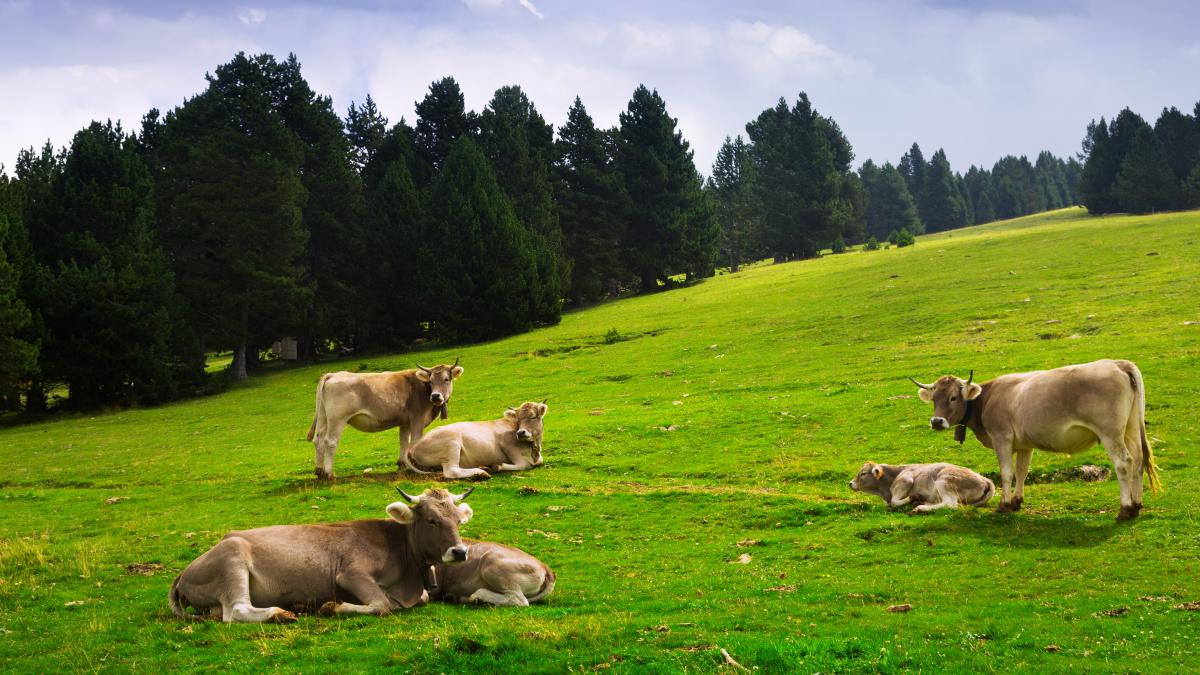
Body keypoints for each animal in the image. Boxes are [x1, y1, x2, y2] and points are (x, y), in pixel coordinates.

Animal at [167, 487, 476, 623]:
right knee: (235, 611)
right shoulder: (350, 574)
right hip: (232, 558)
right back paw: (281, 613)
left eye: (458, 521)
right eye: (432, 520)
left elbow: (417, 599)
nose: (459, 551)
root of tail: (183, 573)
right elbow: (381, 604)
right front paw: (332, 607)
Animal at [306, 359, 464, 480]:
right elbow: (415, 441)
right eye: (430, 381)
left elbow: (403, 442)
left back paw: (319, 471)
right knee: (330, 441)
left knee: (318, 439)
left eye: (446, 379)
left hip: (323, 418)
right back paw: (329, 473)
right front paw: (419, 467)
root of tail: (333, 374)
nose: (436, 396)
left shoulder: (405, 422)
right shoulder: (417, 419)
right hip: (337, 419)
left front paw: (402, 464)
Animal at [402, 401, 548, 480]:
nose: (520, 433)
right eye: (518, 419)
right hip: (451, 444)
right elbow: (524, 464)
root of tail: (413, 446)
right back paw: (481, 472)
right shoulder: (506, 444)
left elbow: (539, 461)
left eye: (533, 417)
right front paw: (498, 466)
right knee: (452, 471)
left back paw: (482, 467)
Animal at [849, 461, 995, 514]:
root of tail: (985, 479)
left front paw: (912, 498)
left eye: (863, 473)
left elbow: (895, 502)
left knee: (950, 504)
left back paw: (920, 507)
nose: (850, 483)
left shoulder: (906, 479)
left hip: (943, 481)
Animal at [909, 359, 1161, 520]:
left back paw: (1125, 509)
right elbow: (1022, 471)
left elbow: (1006, 473)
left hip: (1110, 433)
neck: (986, 398)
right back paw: (1137, 505)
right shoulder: (1024, 444)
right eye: (934, 398)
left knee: (1124, 463)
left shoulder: (1002, 438)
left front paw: (1003, 505)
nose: (936, 421)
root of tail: (1119, 364)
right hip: (1131, 429)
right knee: (1138, 460)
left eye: (953, 397)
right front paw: (1017, 501)